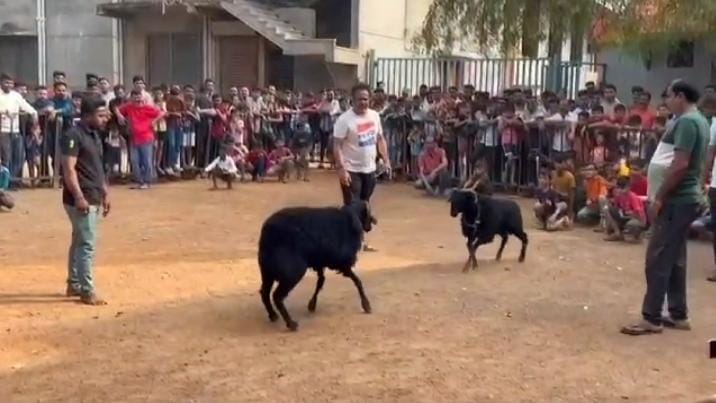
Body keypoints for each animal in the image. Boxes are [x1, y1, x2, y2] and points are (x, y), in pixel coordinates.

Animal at [260, 202, 378, 332]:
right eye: (368, 213)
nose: (372, 225)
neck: (350, 217)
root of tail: (268, 231)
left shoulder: (321, 263)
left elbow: (321, 281)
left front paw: (312, 304)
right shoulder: (342, 264)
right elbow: (357, 281)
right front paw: (366, 305)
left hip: (267, 270)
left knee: (264, 292)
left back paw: (273, 315)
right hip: (291, 272)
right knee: (277, 296)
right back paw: (291, 323)